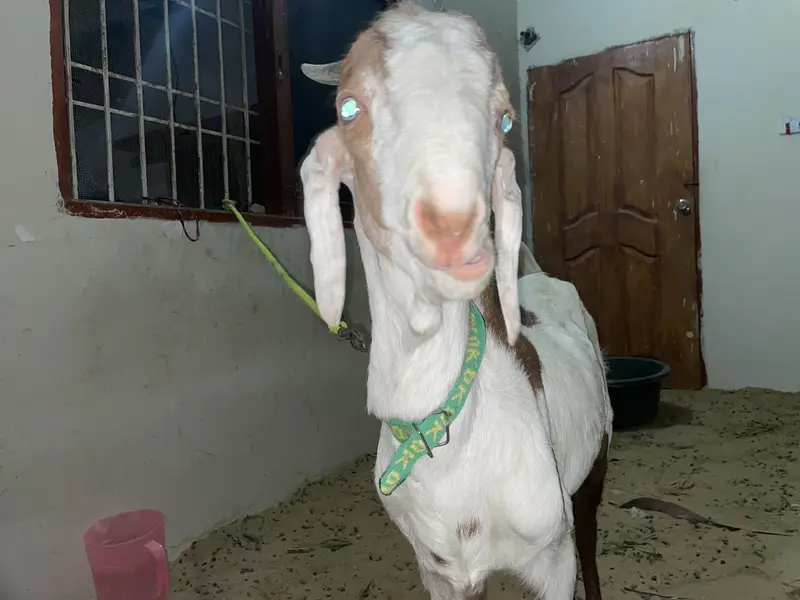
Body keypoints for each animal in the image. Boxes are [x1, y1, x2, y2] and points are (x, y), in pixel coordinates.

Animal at [299, 3, 613, 599]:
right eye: (349, 108)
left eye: (504, 120)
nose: (450, 226)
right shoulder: (441, 569)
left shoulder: (552, 554)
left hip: (597, 452)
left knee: (590, 531)